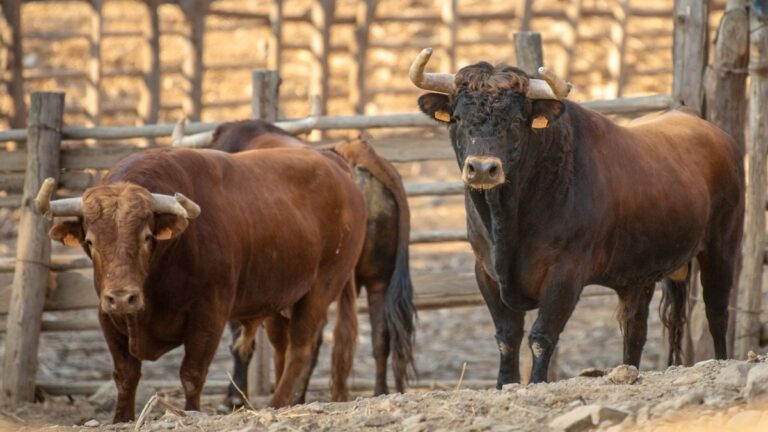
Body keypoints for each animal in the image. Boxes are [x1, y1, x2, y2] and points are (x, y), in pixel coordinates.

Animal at [37, 146, 368, 422]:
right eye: (91, 241)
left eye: (146, 236)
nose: (122, 297)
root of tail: (332, 159)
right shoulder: (107, 317)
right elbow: (125, 374)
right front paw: (122, 419)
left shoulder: (209, 316)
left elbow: (192, 374)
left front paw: (191, 413)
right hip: (282, 298)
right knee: (282, 348)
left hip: (321, 288)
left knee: (301, 346)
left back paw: (276, 403)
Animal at [207, 120, 416, 406]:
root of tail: (355, 152)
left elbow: (243, 340)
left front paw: (234, 397)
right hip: (376, 280)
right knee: (379, 335)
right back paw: (378, 391)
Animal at [414, 49, 744, 386]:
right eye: (457, 118)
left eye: (517, 120)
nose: (482, 168)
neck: (507, 220)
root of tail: (696, 119)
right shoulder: (486, 272)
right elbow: (507, 337)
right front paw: (504, 383)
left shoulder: (566, 273)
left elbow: (541, 337)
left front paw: (537, 382)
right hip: (640, 275)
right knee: (635, 331)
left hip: (722, 246)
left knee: (717, 311)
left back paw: (721, 361)